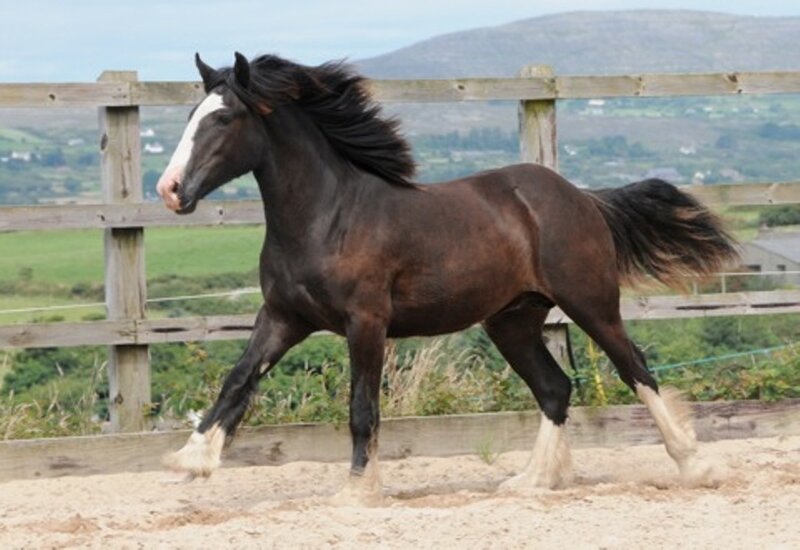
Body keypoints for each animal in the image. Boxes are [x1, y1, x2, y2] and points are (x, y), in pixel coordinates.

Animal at [157, 52, 738, 500]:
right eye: (190, 115)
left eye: (223, 120)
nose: (170, 189)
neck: (328, 217)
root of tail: (582, 197)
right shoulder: (283, 316)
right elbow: (238, 379)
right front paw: (189, 461)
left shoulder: (365, 322)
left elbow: (362, 407)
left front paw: (357, 491)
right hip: (512, 321)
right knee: (555, 388)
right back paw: (530, 482)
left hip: (590, 302)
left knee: (636, 368)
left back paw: (697, 466)